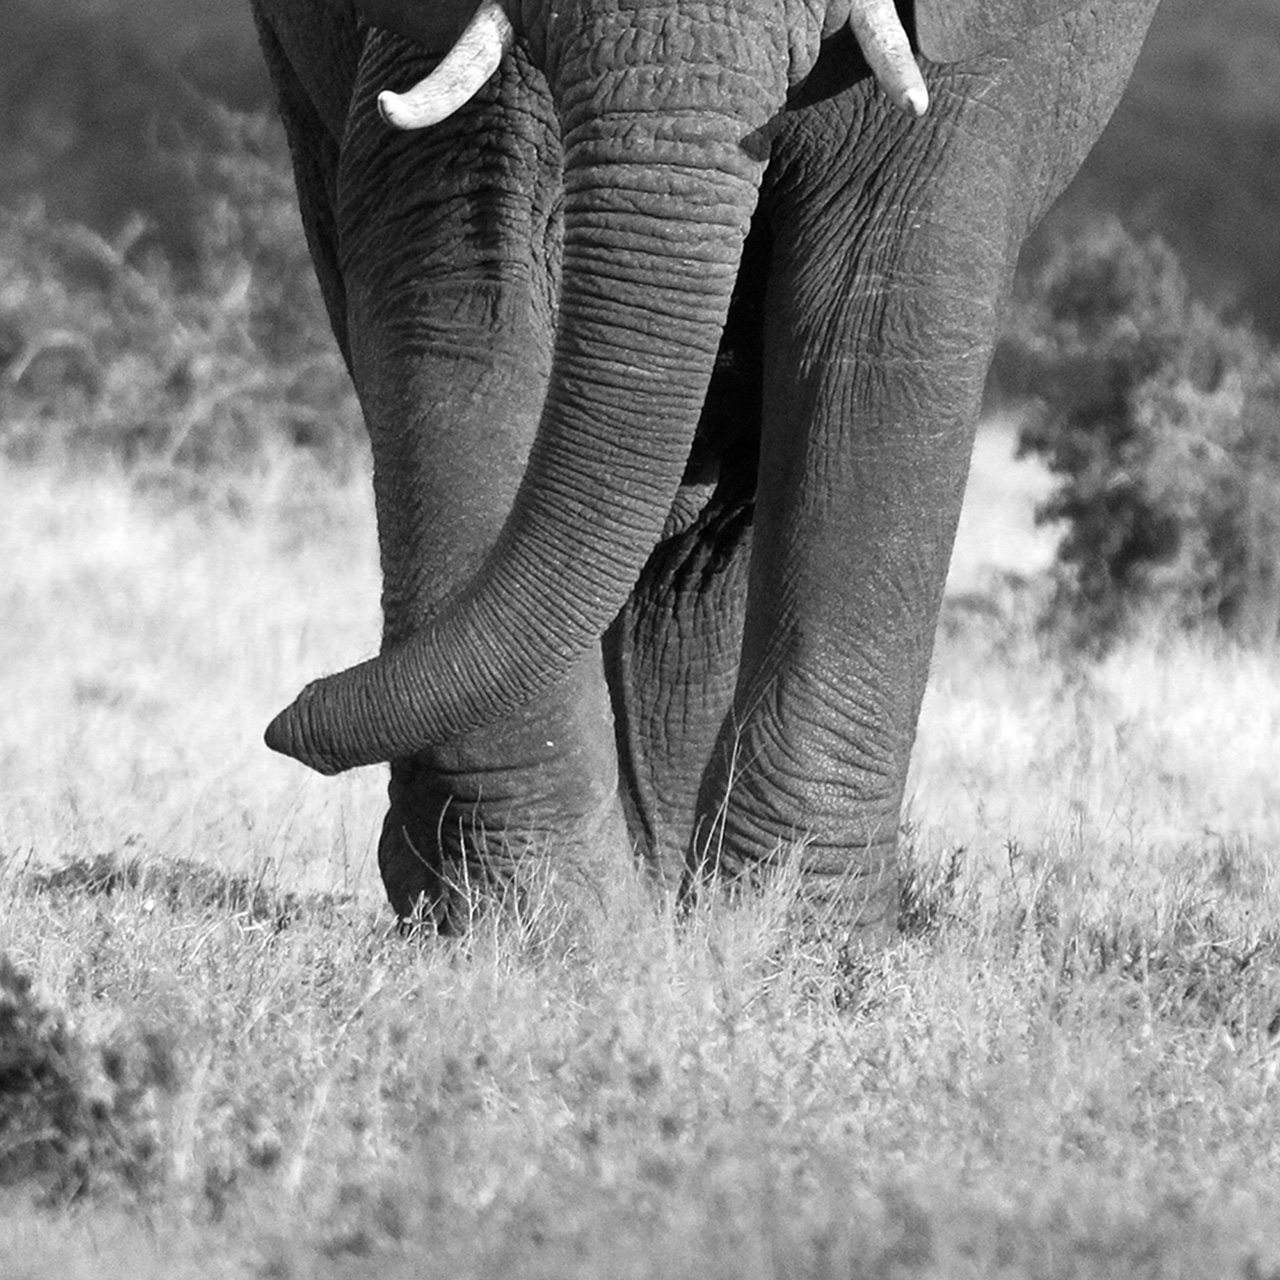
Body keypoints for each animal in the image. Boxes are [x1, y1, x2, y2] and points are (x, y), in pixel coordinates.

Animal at [251, 0, 1161, 936]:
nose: (290, 714)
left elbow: (879, 318)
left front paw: (793, 945)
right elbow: (457, 276)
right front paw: (537, 924)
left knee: (709, 542)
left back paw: (674, 894)